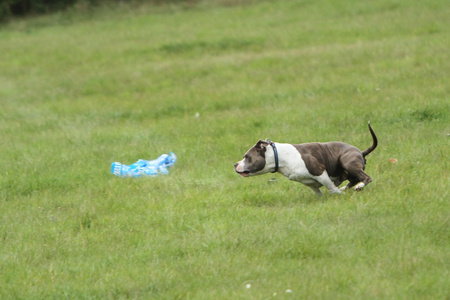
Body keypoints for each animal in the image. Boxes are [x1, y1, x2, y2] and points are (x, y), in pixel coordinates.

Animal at [234, 122, 378, 196]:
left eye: (246, 157)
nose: (235, 164)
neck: (279, 157)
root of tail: (361, 152)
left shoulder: (319, 172)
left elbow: (331, 188)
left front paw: (338, 194)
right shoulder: (309, 182)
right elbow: (319, 192)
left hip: (347, 161)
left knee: (365, 178)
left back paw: (358, 187)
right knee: (352, 179)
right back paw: (347, 187)